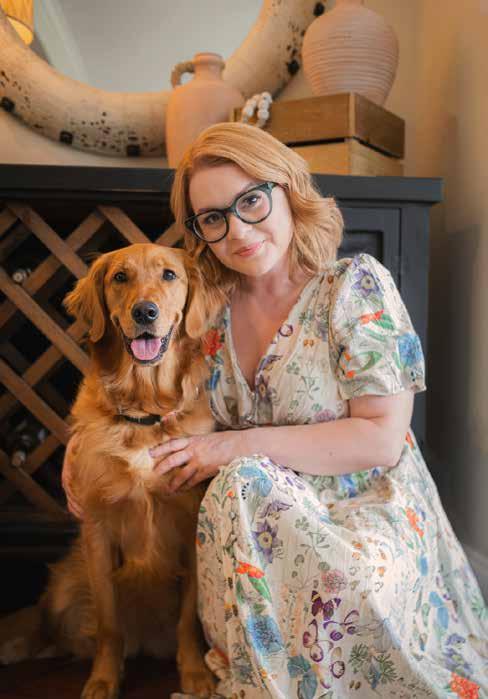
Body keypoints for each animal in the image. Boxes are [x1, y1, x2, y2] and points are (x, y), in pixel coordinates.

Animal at [0, 243, 221, 699]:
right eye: (120, 277)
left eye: (169, 275)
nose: (145, 312)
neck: (144, 410)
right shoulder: (97, 528)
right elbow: (108, 624)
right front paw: (103, 680)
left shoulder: (191, 524)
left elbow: (188, 619)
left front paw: (195, 675)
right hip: (66, 584)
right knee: (46, 628)